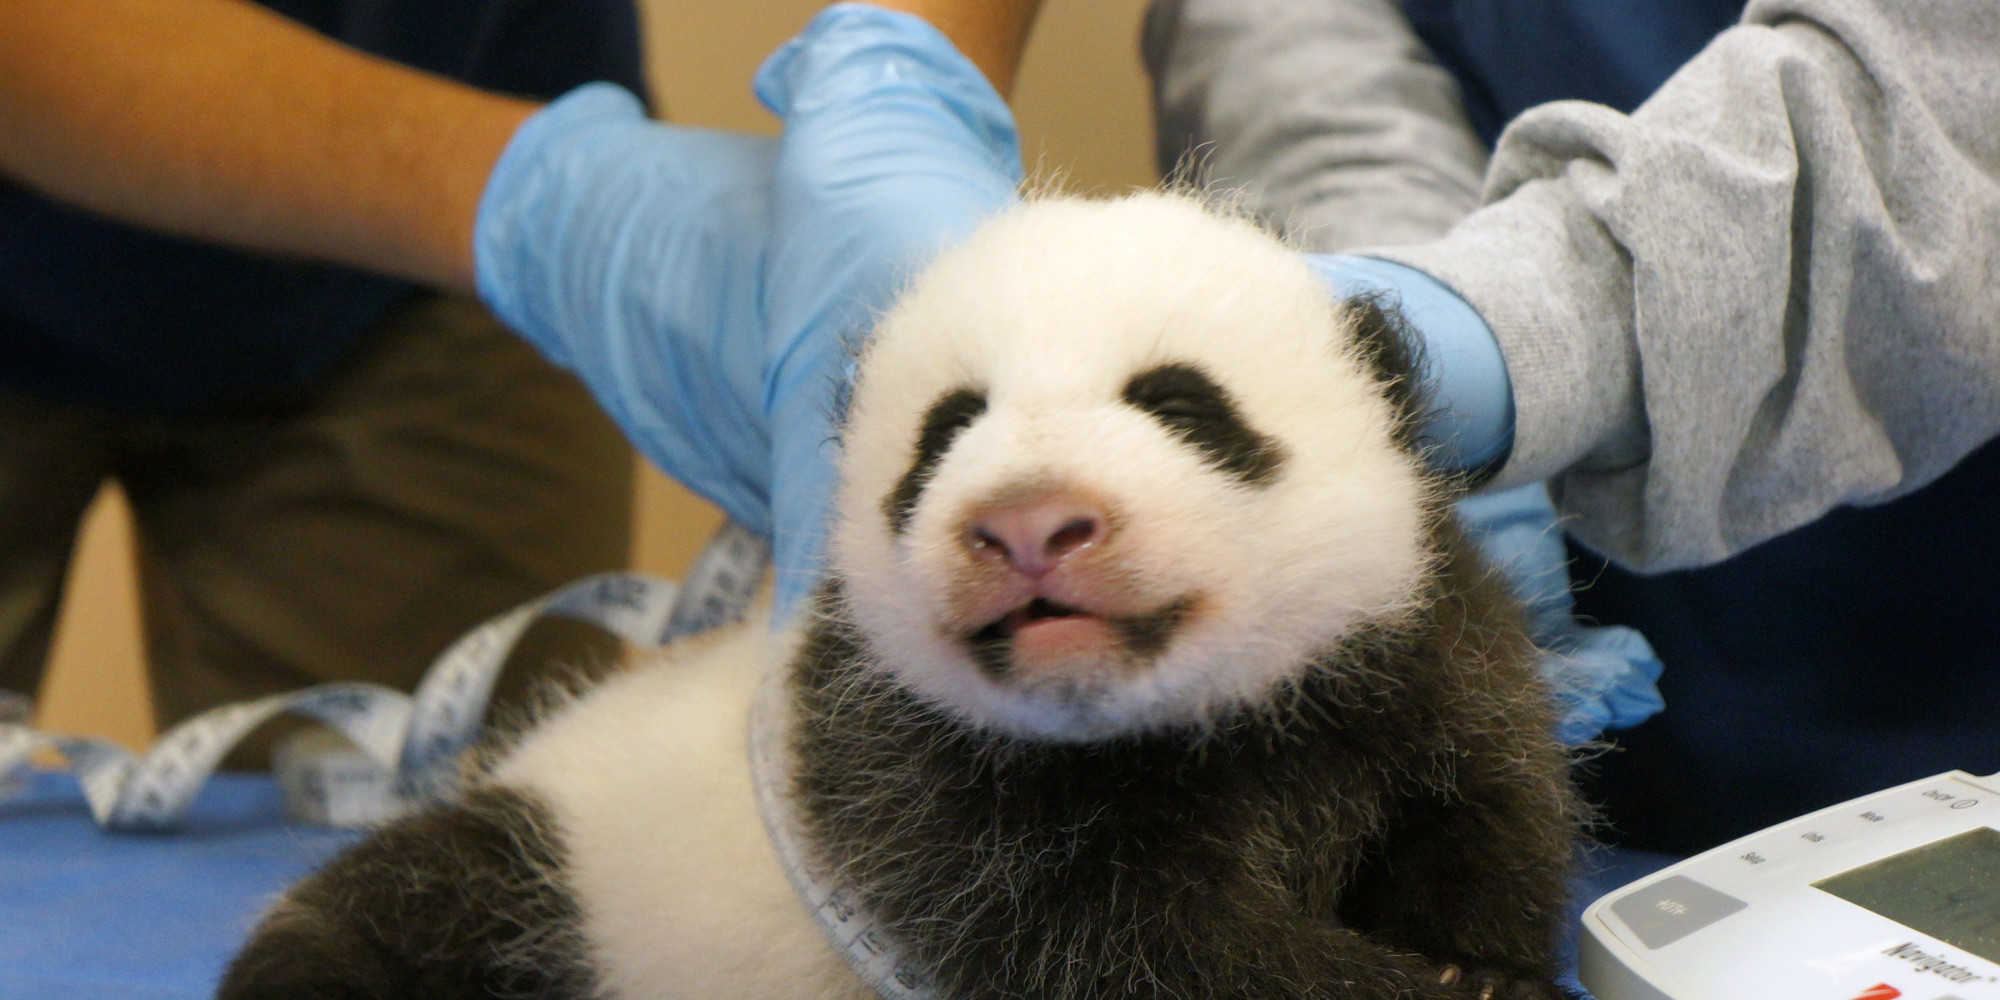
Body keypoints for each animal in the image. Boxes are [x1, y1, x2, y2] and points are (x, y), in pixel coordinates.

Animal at [218, 193, 1581, 1000]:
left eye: (1182, 406)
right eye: (940, 436)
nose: (1027, 524)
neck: (1175, 722)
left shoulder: (1398, 646)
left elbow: (1485, 799)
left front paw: (1477, 959)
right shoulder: (920, 786)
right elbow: (1143, 952)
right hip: (559, 853)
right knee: (395, 906)